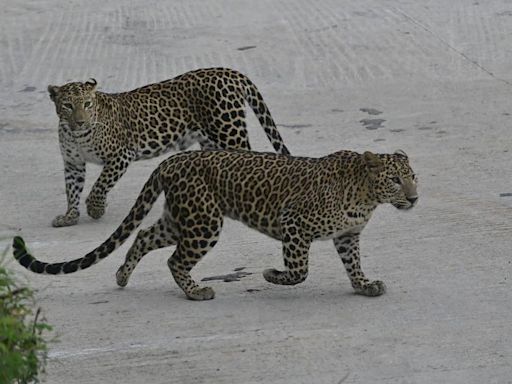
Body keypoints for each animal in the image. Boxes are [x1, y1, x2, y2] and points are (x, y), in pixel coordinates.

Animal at [13, 148, 420, 302]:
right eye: (395, 180)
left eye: (413, 177)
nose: (415, 198)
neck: (366, 196)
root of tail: (171, 160)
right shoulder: (294, 223)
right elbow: (299, 269)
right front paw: (272, 275)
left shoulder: (347, 236)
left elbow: (353, 265)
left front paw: (365, 286)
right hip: (204, 222)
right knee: (174, 259)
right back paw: (196, 292)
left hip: (182, 219)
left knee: (143, 236)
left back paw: (123, 276)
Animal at [48, 67, 290, 226]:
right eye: (67, 105)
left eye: (87, 104)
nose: (81, 122)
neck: (76, 135)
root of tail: (230, 72)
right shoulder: (73, 163)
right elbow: (72, 189)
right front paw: (69, 216)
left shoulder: (121, 155)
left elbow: (100, 185)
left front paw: (95, 208)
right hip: (211, 140)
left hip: (229, 131)